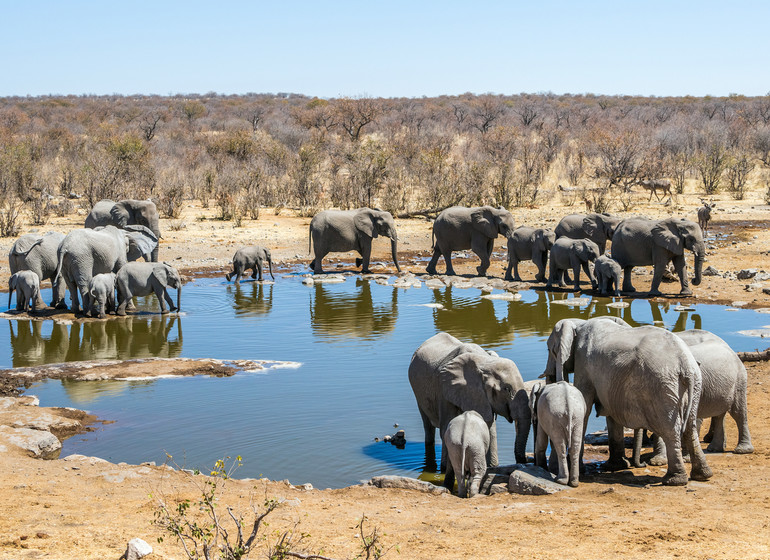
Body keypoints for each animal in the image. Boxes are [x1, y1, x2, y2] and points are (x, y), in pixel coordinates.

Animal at [404, 332, 532, 486]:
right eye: (506, 389)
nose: (525, 462)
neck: (484, 361)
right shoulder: (444, 390)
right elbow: (446, 427)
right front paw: (445, 469)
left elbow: (489, 429)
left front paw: (493, 467)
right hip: (418, 393)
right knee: (428, 426)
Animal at [540, 318, 712, 484]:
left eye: (550, 349)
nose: (641, 464)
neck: (579, 323)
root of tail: (685, 364)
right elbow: (611, 413)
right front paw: (615, 467)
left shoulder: (584, 365)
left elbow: (586, 408)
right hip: (693, 384)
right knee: (690, 426)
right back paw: (702, 475)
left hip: (663, 386)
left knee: (671, 430)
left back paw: (673, 480)